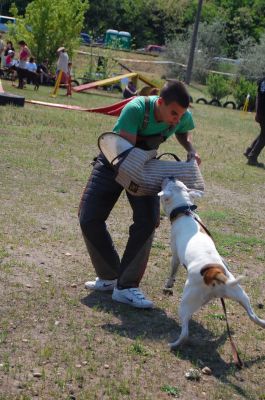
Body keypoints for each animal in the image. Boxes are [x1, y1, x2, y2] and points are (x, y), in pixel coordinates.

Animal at [158, 180, 262, 348]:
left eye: (168, 183)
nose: (170, 176)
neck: (185, 212)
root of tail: (214, 273)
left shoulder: (175, 255)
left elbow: (172, 270)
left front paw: (169, 284)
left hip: (186, 303)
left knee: (185, 333)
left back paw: (173, 344)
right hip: (241, 294)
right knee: (254, 317)